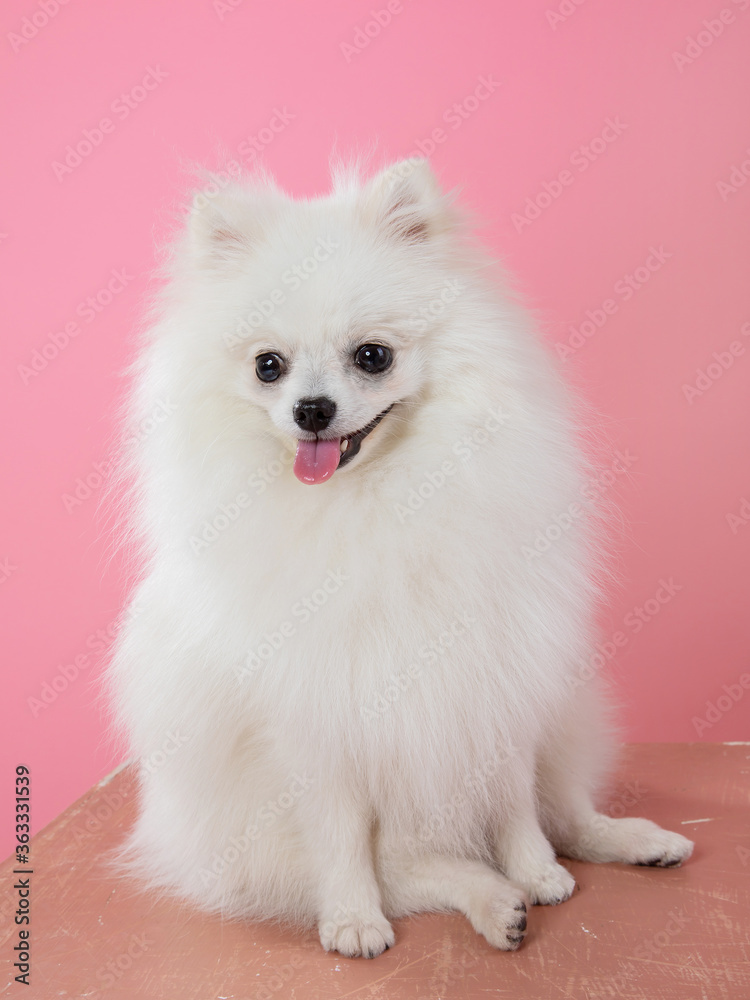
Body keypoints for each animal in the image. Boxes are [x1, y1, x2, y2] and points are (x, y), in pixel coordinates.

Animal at [108, 160, 696, 956]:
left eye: (372, 356)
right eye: (268, 366)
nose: (312, 410)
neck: (377, 501)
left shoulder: (495, 675)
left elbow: (515, 799)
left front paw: (535, 869)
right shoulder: (312, 719)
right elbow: (342, 838)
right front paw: (353, 918)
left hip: (562, 711)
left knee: (565, 814)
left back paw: (615, 848)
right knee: (412, 871)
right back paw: (490, 901)